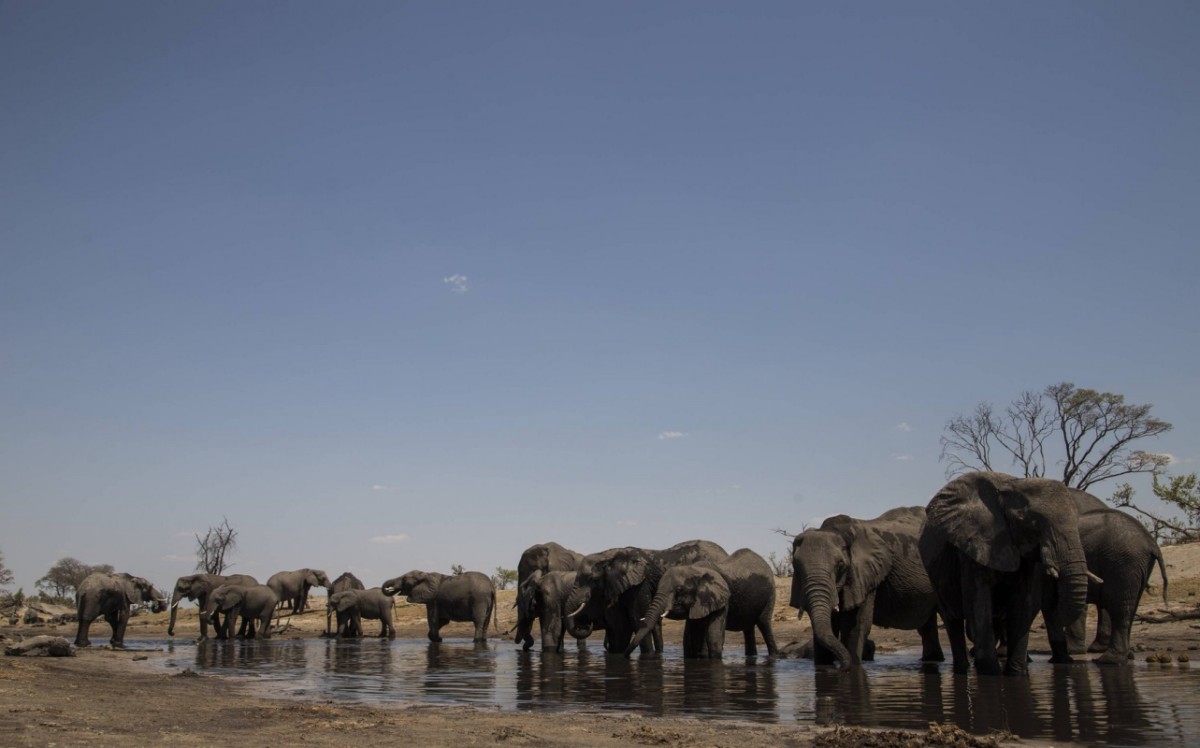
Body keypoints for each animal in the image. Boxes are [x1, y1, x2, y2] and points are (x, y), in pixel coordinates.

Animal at [624, 548, 779, 659]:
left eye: (679, 590)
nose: (625, 656)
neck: (695, 570)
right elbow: (689, 639)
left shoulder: (722, 598)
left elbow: (713, 637)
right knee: (748, 629)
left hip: (771, 592)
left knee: (764, 623)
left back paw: (774, 656)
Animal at [789, 506, 943, 670]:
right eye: (796, 566)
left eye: (840, 566)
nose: (839, 667)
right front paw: (825, 668)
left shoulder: (865, 575)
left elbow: (854, 626)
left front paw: (852, 668)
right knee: (927, 626)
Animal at [919, 471, 1092, 676]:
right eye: (1033, 523)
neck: (1012, 486)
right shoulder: (972, 546)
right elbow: (979, 604)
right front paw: (990, 674)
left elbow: (1023, 604)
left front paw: (1016, 674)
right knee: (952, 619)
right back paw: (963, 668)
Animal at [1043, 489, 1167, 665]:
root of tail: (1152, 542)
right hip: (1137, 566)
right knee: (1129, 606)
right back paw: (1123, 656)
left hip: (1123, 562)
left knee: (1120, 607)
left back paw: (1108, 659)